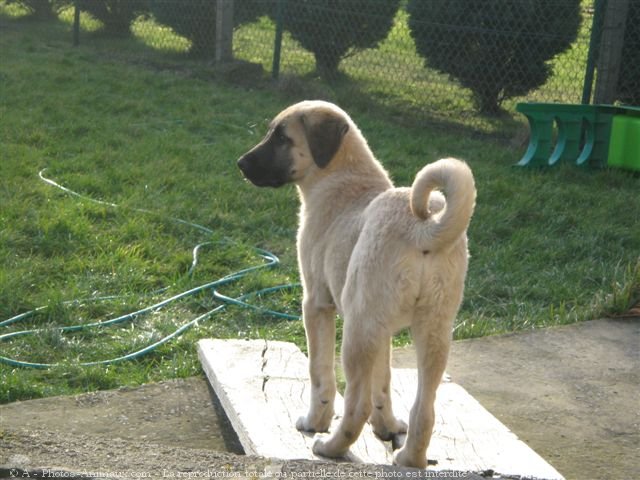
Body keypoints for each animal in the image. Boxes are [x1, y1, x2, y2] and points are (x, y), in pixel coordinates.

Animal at [236, 99, 476, 466]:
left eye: (282, 138)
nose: (241, 164)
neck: (342, 176)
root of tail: (422, 227)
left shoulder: (317, 304)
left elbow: (320, 375)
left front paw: (315, 422)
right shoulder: (384, 330)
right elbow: (384, 382)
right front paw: (387, 426)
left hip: (357, 330)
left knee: (356, 403)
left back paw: (331, 447)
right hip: (432, 331)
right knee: (425, 408)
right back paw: (410, 459)